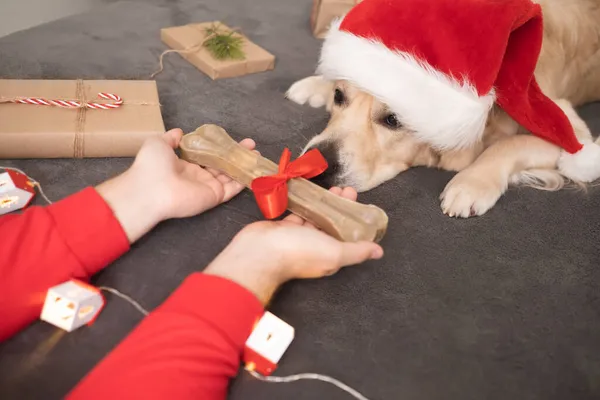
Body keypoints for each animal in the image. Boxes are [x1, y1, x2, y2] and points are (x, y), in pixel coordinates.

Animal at [286, 0, 600, 219]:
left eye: (393, 120)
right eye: (339, 95)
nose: (316, 165)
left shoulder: (570, 129)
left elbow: (509, 144)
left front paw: (471, 183)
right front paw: (315, 85)